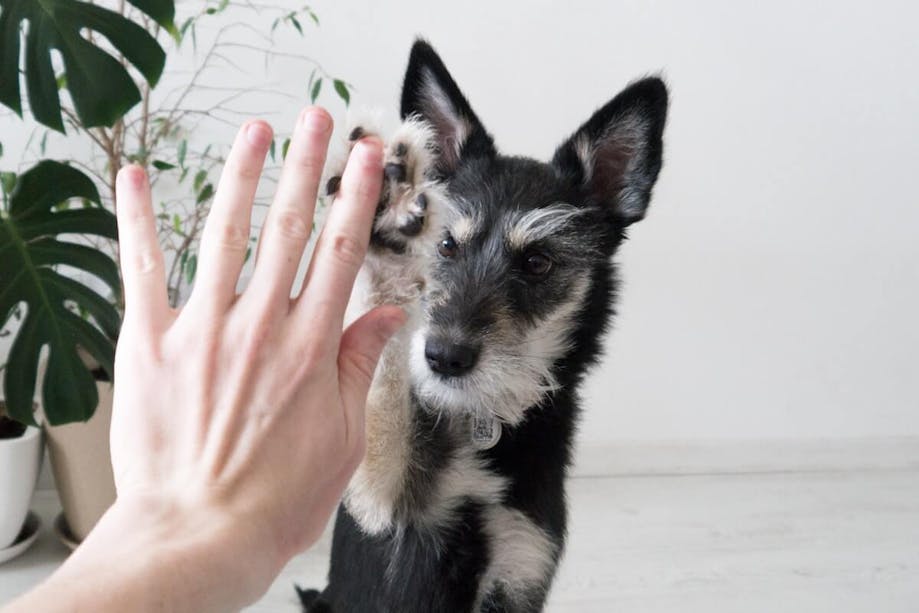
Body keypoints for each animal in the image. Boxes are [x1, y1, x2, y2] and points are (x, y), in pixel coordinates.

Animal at [302, 40, 668, 608]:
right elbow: (382, 405)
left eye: (537, 262)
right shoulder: (383, 507)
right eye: (446, 244)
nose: (444, 358)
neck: (479, 423)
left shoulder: (519, 567)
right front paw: (390, 221)